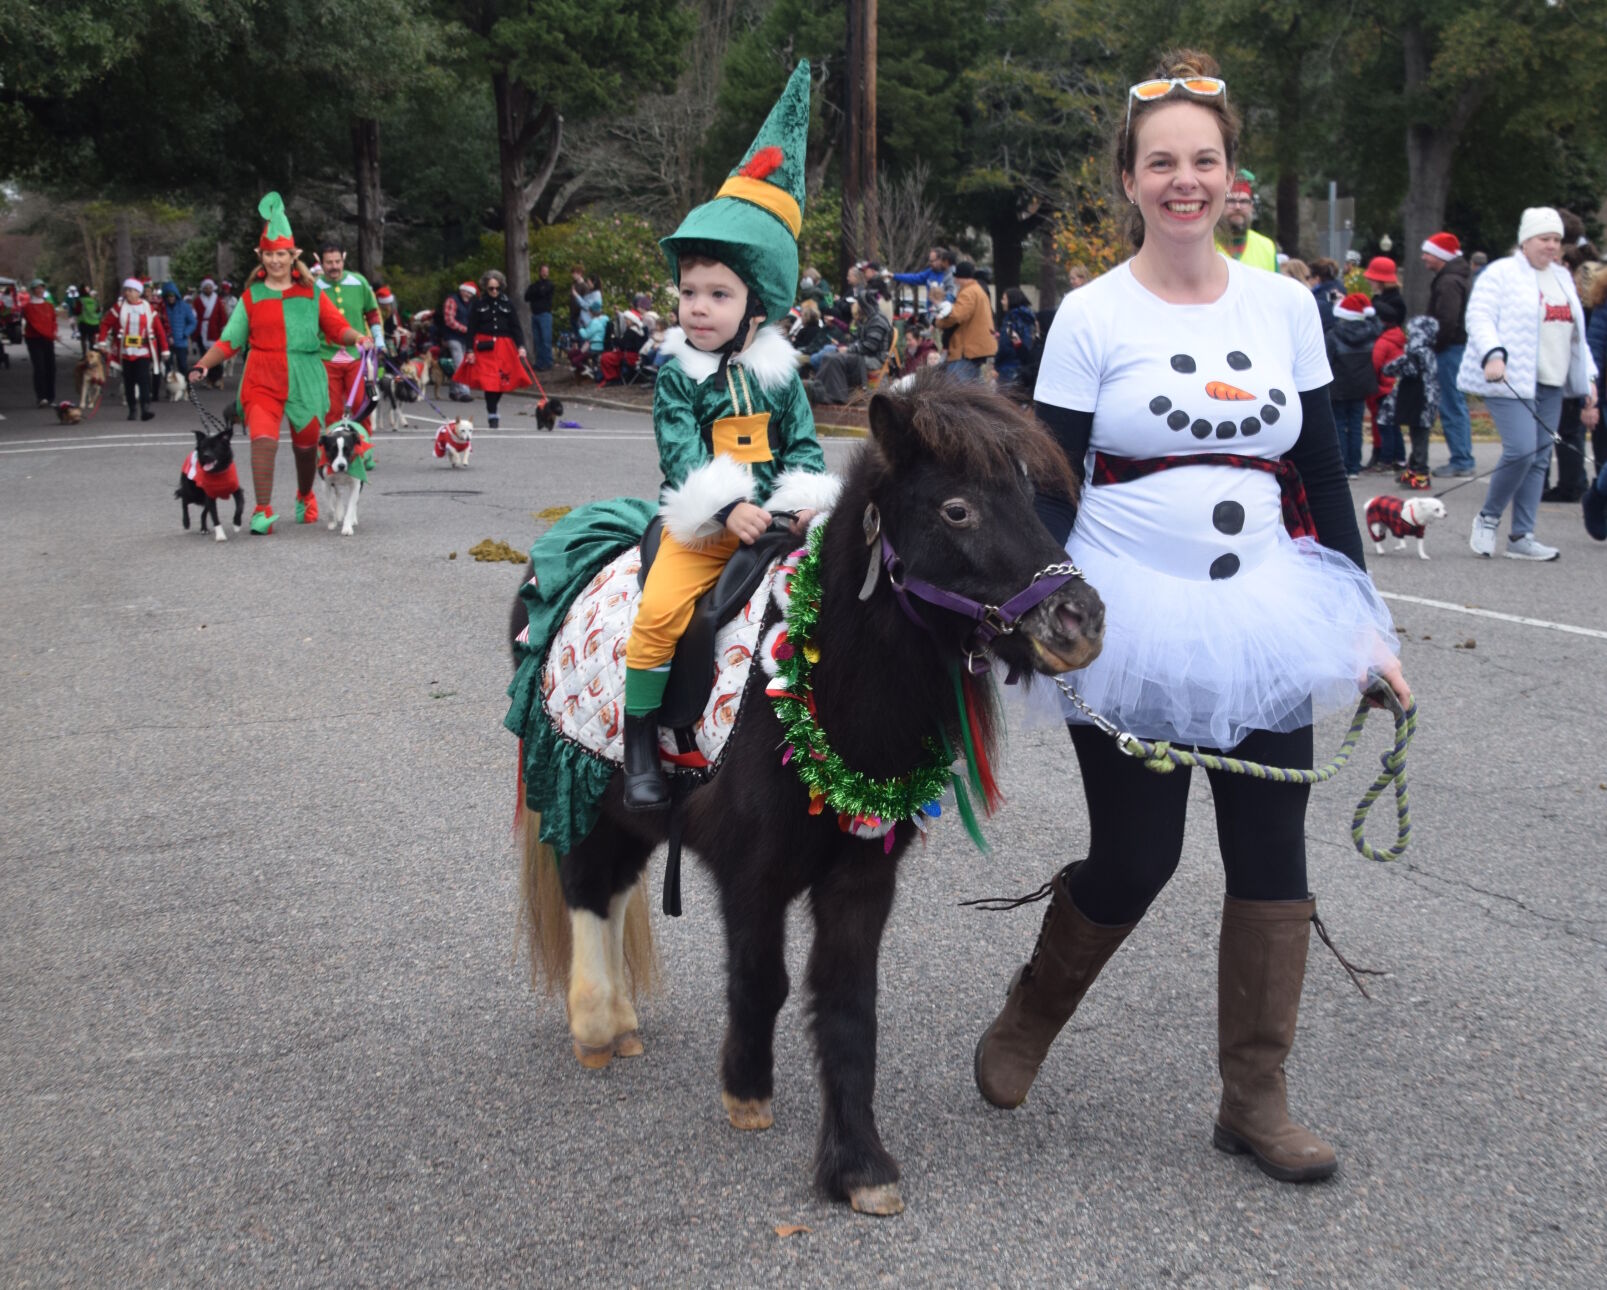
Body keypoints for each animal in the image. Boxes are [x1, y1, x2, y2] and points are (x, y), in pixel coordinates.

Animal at [514, 375, 1105, 1220]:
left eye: (1029, 497)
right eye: (956, 509)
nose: (1080, 621)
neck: (820, 690)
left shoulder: (860, 878)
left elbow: (848, 1005)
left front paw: (859, 1165)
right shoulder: (750, 875)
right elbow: (763, 981)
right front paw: (747, 1092)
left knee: (619, 886)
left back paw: (622, 1020)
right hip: (584, 788)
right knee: (589, 889)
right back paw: (596, 1025)